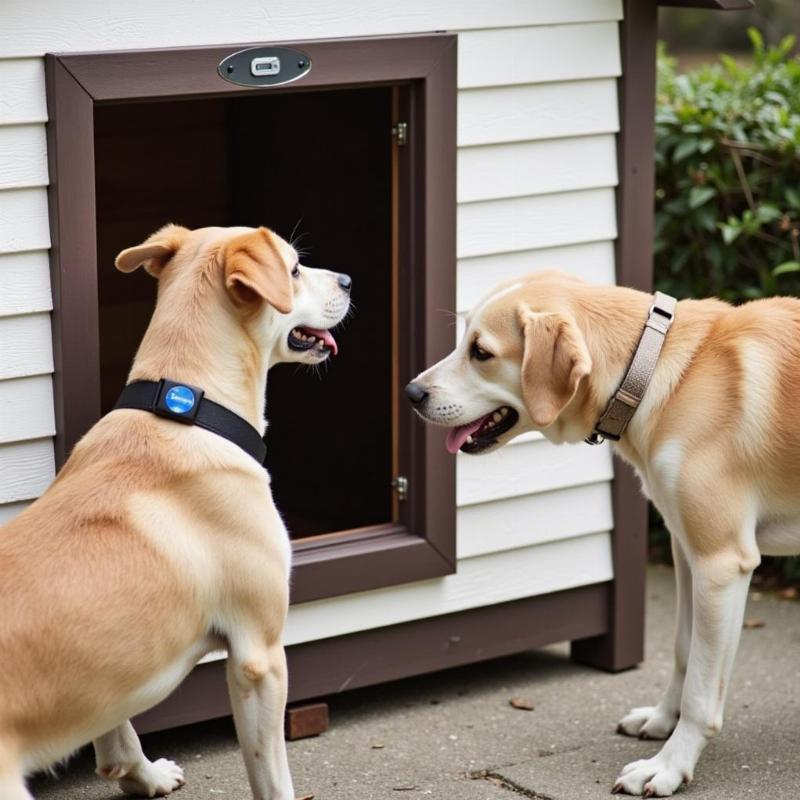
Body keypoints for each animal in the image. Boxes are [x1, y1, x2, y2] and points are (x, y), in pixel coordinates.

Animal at [0, 225, 350, 800]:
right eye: (295, 269)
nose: (347, 279)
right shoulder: (259, 657)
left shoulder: (105, 676)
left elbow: (117, 731)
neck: (187, 409)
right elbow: (272, 777)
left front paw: (141, 774)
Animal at [406, 272, 800, 796]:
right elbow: (683, 651)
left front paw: (669, 765)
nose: (411, 393)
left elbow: (700, 691)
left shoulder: (721, 562)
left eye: (481, 352)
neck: (662, 373)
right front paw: (662, 719)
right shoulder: (686, 552)